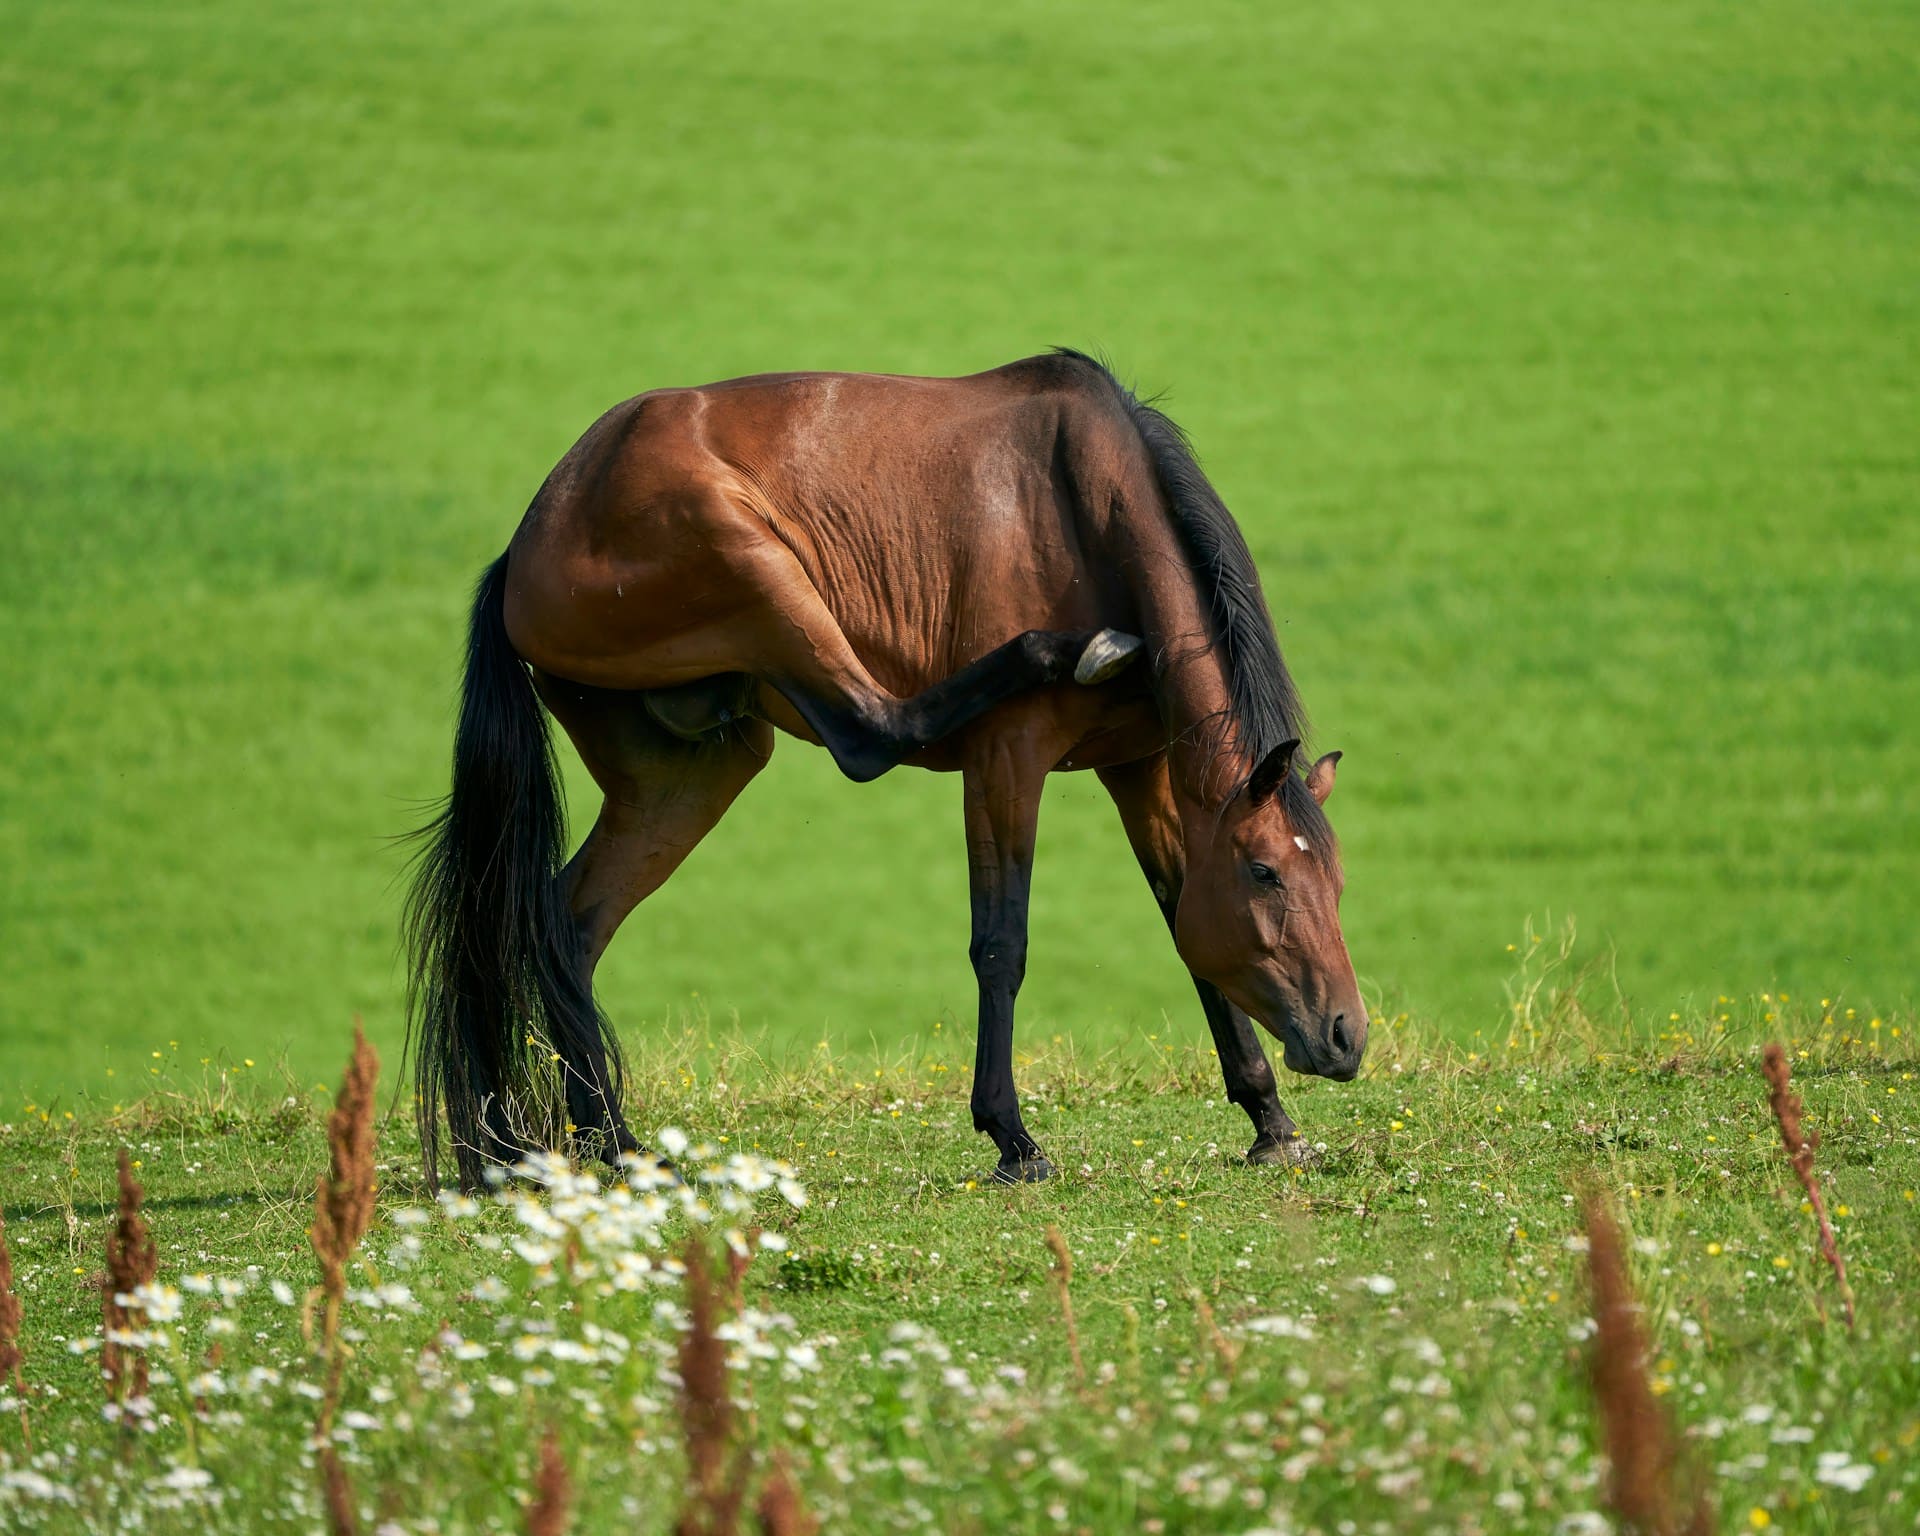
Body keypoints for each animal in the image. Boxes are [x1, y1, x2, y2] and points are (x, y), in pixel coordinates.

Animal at [404, 350, 1366, 1190]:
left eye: (1336, 881)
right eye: (1266, 872)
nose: (1346, 1035)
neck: (1084, 508)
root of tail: (525, 545)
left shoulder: (1141, 770)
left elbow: (1183, 928)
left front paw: (1269, 1122)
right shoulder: (1006, 763)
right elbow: (1000, 943)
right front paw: (1012, 1138)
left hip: (692, 771)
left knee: (567, 926)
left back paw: (617, 1145)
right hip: (748, 558)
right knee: (869, 730)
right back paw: (1066, 651)